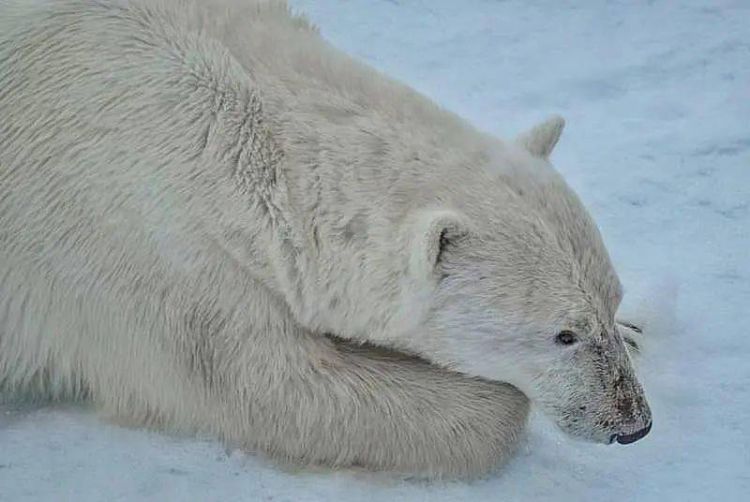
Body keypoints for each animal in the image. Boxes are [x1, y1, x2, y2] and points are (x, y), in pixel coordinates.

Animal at [0, 0, 652, 476]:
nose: (633, 424)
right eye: (562, 334)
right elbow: (262, 384)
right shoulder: (143, 240)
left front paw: (637, 331)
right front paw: (497, 400)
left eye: (611, 297)